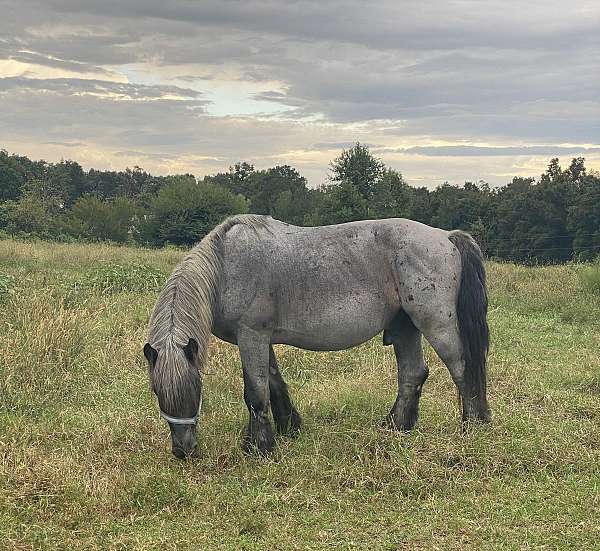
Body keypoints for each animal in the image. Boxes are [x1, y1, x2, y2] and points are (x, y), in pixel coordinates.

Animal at [143, 213, 490, 460]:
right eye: (157, 392)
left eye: (194, 389)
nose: (183, 451)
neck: (226, 265)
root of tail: (445, 236)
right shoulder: (260, 339)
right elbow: (273, 383)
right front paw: (288, 428)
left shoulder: (252, 335)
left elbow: (255, 392)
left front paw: (259, 447)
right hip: (405, 327)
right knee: (413, 374)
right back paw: (396, 426)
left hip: (436, 325)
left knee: (462, 369)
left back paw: (471, 427)